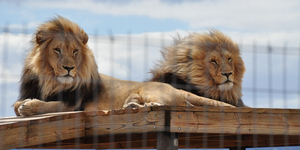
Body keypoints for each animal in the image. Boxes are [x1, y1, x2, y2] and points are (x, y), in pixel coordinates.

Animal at [13, 16, 234, 117]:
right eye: (57, 50)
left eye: (75, 51)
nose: (69, 68)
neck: (50, 81)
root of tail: (176, 89)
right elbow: (16, 105)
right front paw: (25, 104)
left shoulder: (74, 105)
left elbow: (51, 105)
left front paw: (30, 106)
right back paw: (132, 105)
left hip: (152, 91)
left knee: (163, 105)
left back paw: (142, 106)